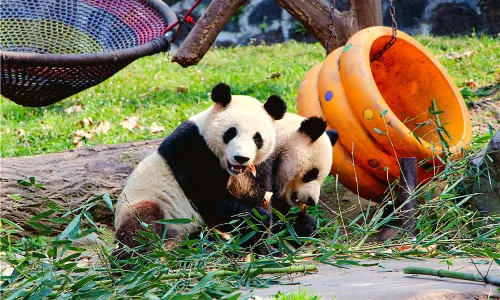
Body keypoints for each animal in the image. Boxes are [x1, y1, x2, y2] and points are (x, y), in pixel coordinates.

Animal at [113, 82, 286, 258]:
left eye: (257, 138)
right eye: (231, 132)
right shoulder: (192, 148)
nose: (241, 157)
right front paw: (258, 217)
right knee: (142, 225)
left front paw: (267, 247)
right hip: (146, 203)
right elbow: (210, 197)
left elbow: (258, 194)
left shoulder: (260, 166)